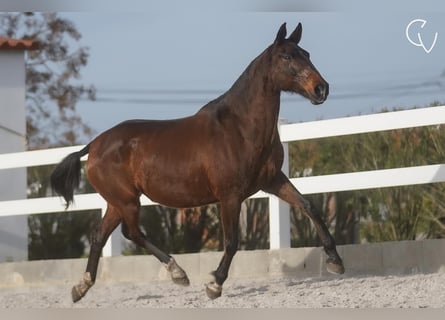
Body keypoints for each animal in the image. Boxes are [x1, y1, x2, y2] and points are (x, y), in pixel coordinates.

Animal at [51, 22, 344, 302]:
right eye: (286, 56)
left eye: (307, 54)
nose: (321, 88)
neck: (240, 128)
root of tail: (94, 145)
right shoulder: (230, 196)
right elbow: (232, 241)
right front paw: (215, 284)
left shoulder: (272, 180)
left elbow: (308, 206)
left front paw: (336, 261)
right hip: (127, 201)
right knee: (131, 233)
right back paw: (178, 273)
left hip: (117, 202)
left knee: (101, 236)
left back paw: (81, 287)